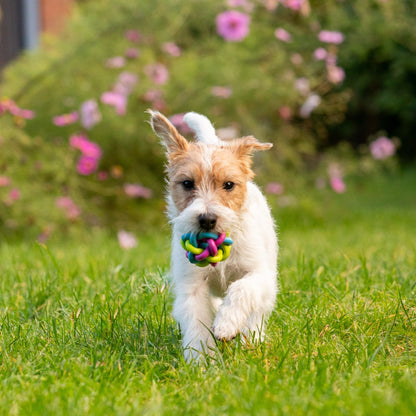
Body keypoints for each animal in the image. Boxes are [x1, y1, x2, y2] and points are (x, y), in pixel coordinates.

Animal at [148, 109, 278, 360]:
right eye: (187, 183)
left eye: (228, 185)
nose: (207, 219)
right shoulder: (192, 286)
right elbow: (197, 323)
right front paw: (201, 360)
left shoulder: (260, 275)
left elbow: (242, 289)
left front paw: (226, 325)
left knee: (257, 312)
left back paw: (250, 338)